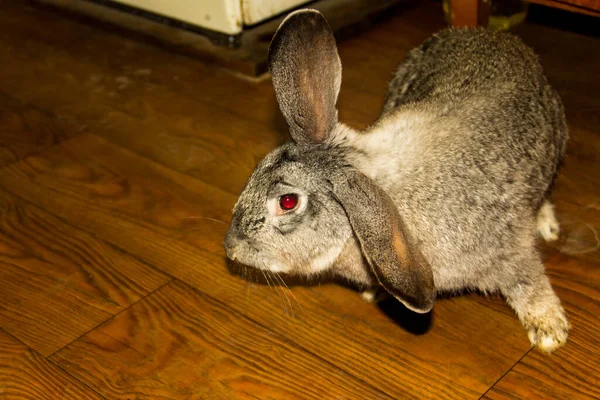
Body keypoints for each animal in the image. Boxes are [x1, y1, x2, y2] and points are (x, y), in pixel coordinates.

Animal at [224, 9, 568, 352]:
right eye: (258, 168)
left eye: (287, 202)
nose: (230, 248)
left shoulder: (510, 250)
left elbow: (528, 282)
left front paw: (550, 331)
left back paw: (547, 225)